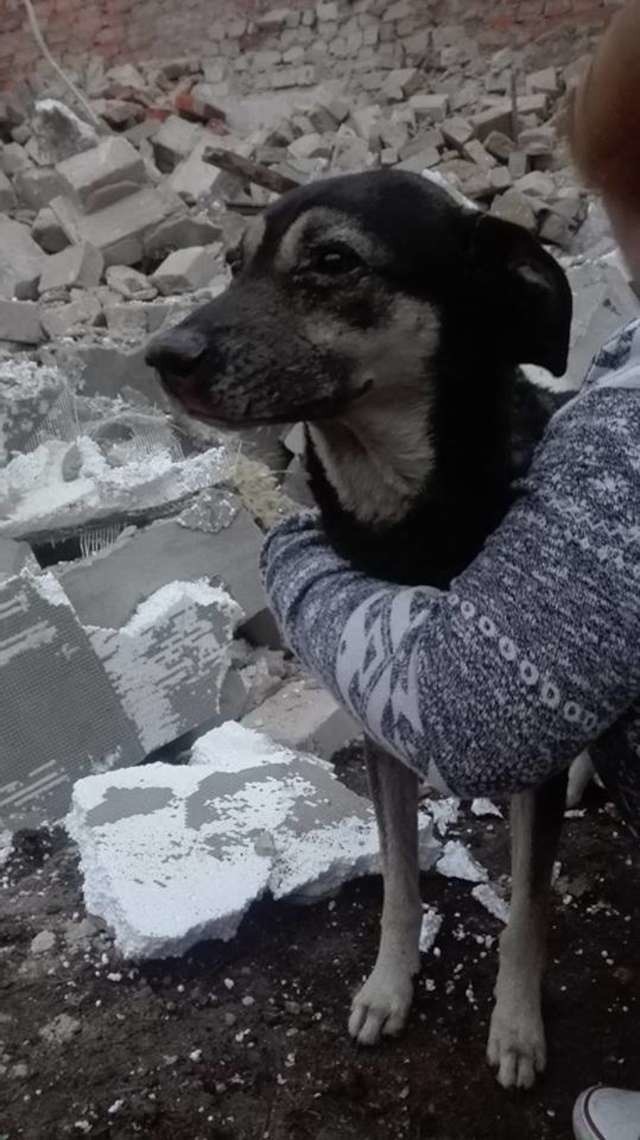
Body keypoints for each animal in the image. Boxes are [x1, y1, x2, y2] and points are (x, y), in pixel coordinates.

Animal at [146, 168, 574, 1085]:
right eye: (234, 262)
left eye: (334, 261)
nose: (162, 358)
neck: (407, 519)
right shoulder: (379, 731)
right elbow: (399, 879)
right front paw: (388, 986)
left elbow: (528, 905)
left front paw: (518, 1027)